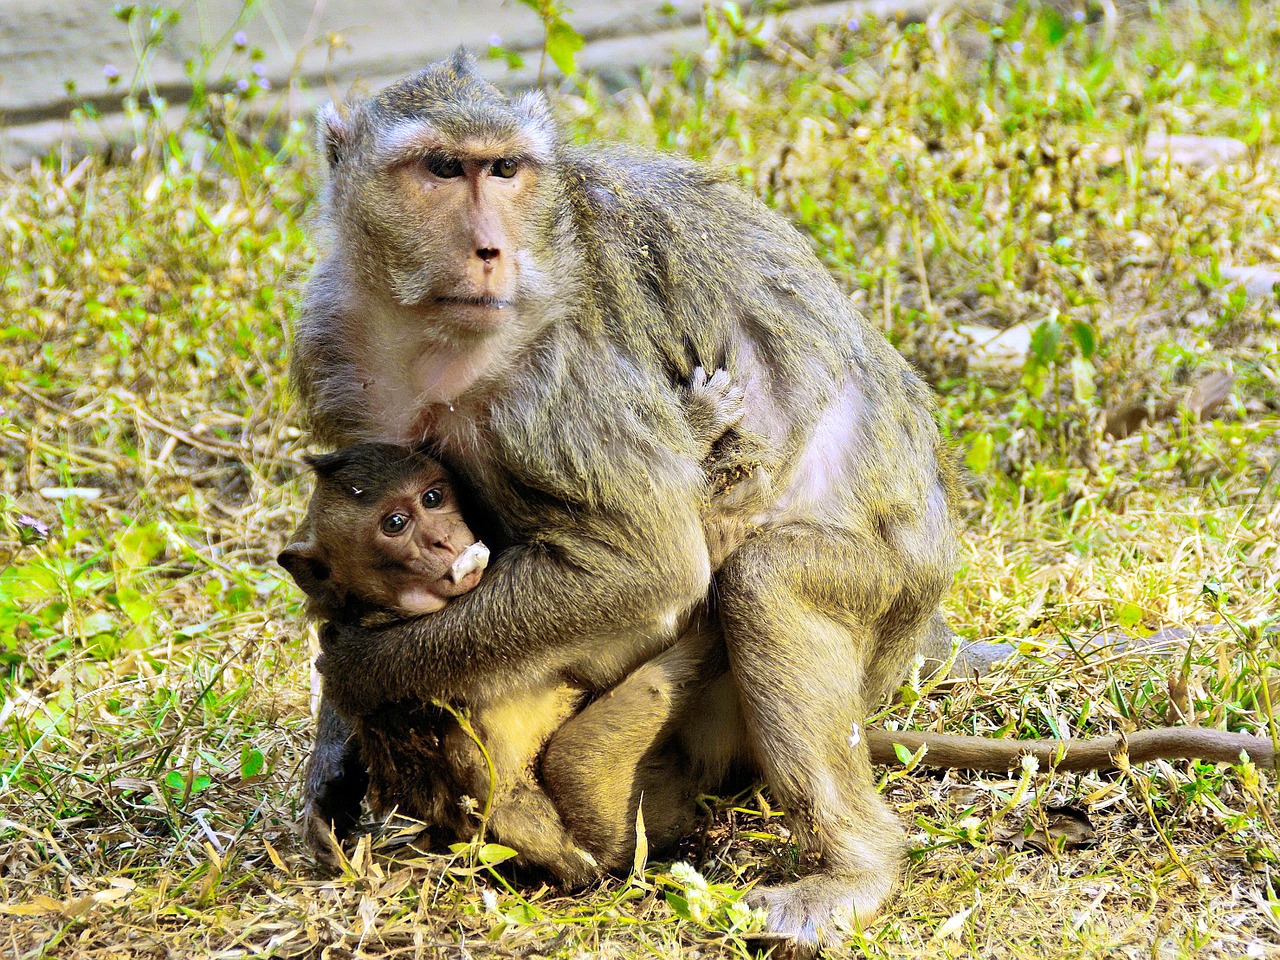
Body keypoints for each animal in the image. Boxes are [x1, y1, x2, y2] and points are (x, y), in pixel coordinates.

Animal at [293, 52, 962, 947]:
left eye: (504, 170)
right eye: (440, 169)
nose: (490, 249)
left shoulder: (561, 379)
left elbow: (647, 568)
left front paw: (358, 672)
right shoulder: (331, 341)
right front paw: (335, 762)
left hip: (885, 599)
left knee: (767, 583)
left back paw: (855, 868)